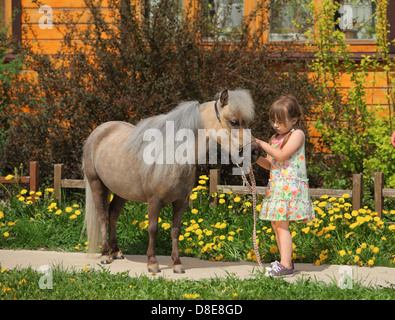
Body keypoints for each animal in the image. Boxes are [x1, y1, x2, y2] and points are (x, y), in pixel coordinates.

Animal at [83, 88, 262, 272]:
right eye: (234, 121)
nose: (255, 152)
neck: (175, 157)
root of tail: (99, 131)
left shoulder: (181, 202)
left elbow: (176, 230)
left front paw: (177, 263)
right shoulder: (154, 201)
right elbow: (153, 229)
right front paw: (152, 263)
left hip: (122, 191)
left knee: (113, 214)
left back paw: (116, 252)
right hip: (96, 184)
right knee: (103, 216)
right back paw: (105, 255)